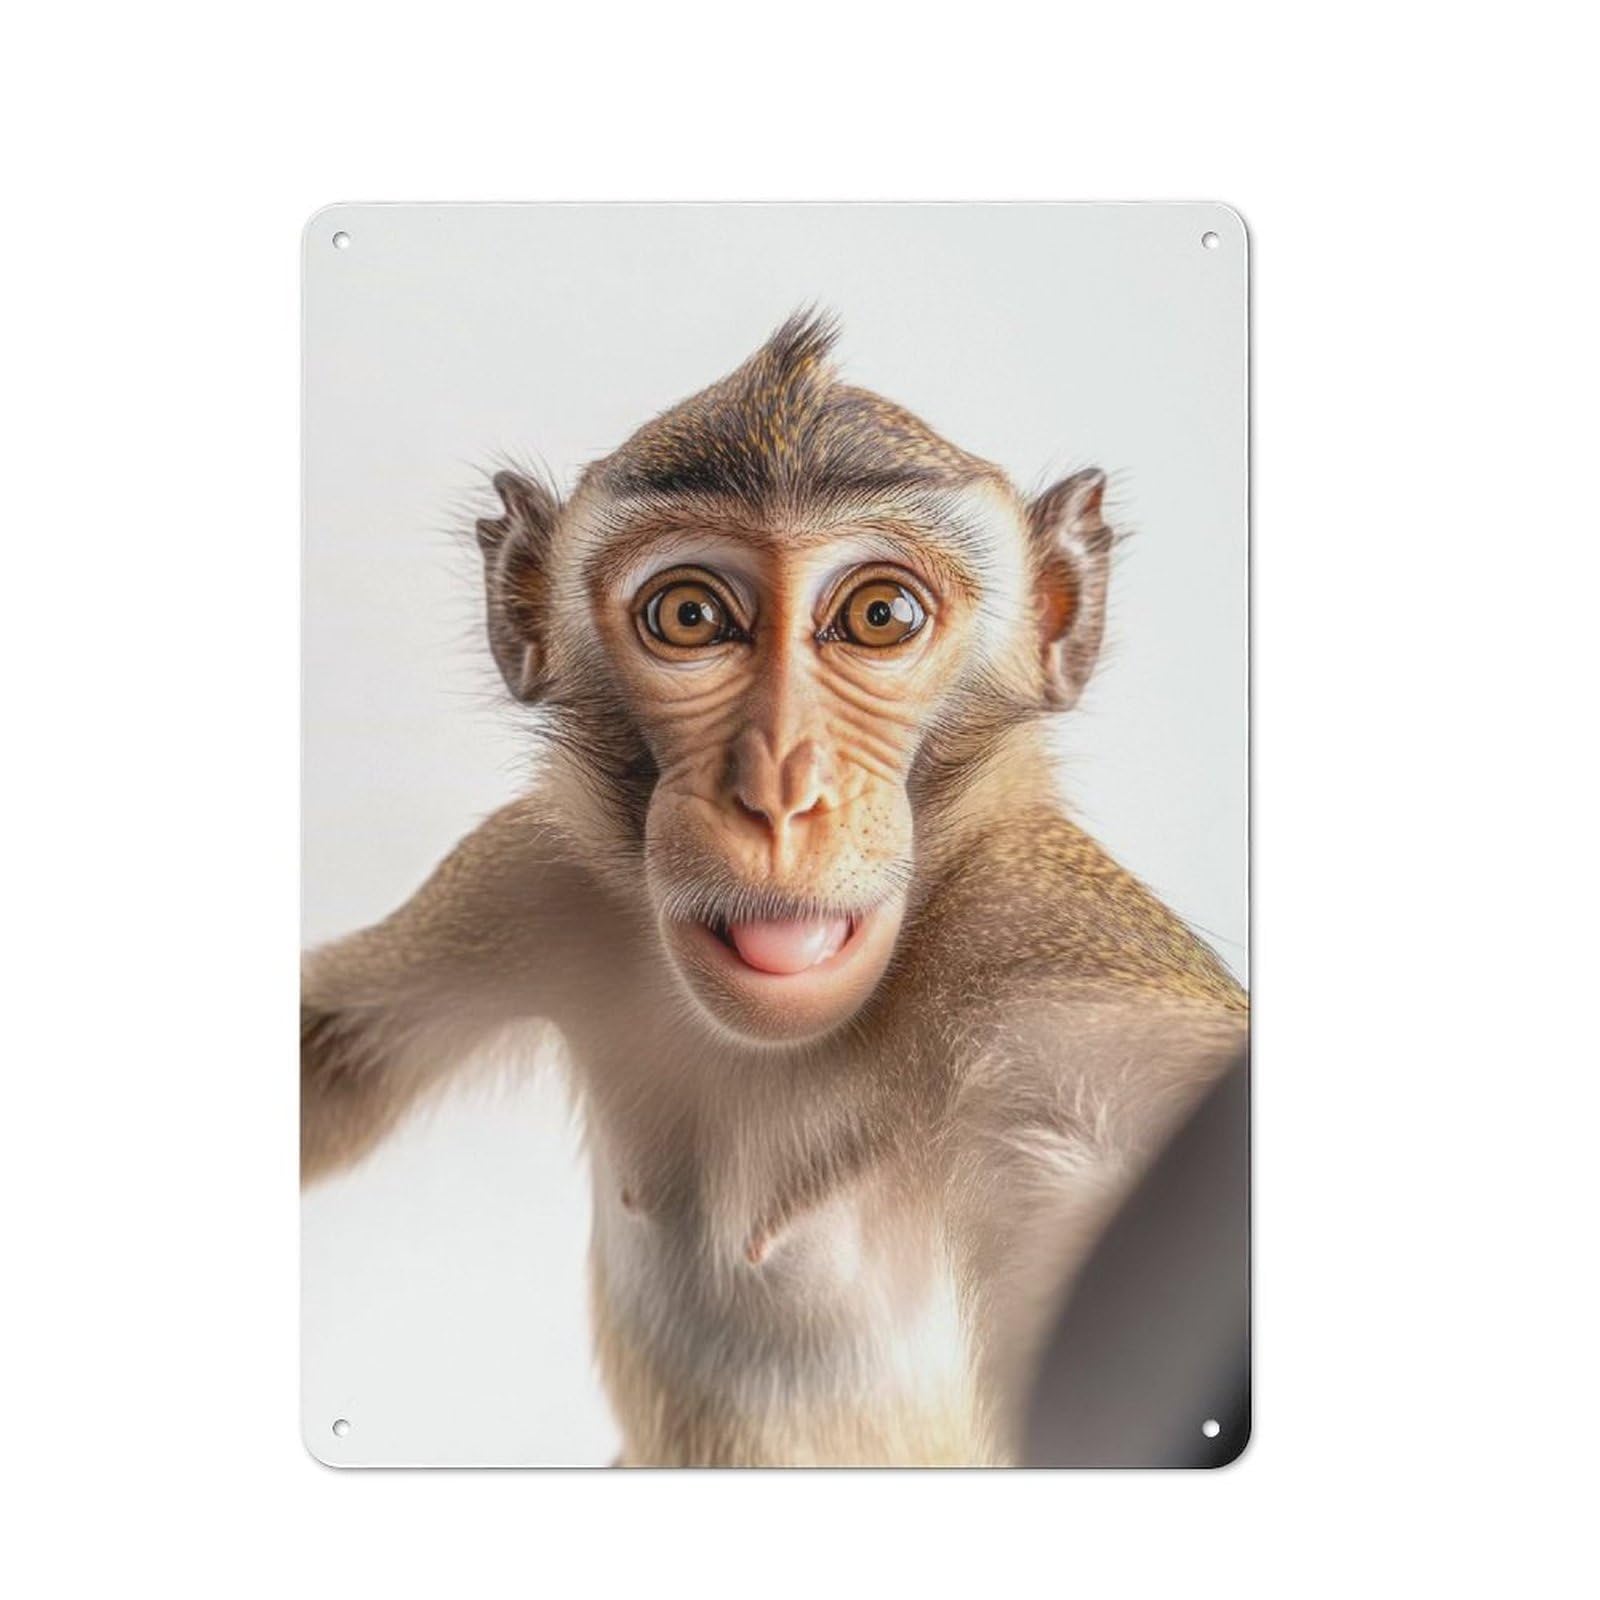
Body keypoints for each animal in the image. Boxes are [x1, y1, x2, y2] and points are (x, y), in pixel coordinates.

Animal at [302, 312, 1248, 1467]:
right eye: (689, 614)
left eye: (881, 615)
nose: (779, 790)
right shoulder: (527, 872)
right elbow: (333, 1049)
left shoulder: (1048, 948)